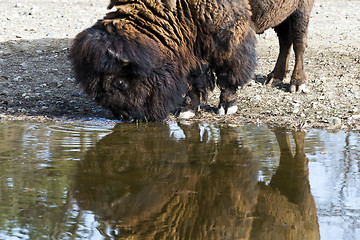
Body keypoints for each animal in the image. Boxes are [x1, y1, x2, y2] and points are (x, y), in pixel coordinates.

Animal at [69, 0, 312, 120]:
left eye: (120, 82)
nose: (123, 116)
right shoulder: (194, 43)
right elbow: (197, 77)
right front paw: (188, 109)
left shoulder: (228, 36)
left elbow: (228, 72)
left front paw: (227, 106)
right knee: (285, 40)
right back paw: (274, 77)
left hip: (302, 10)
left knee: (298, 42)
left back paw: (296, 83)